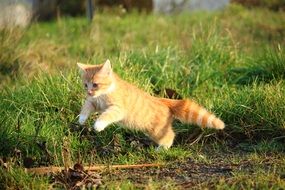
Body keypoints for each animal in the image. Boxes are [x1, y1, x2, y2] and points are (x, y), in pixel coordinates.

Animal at [77, 60, 224, 149]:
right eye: (85, 85)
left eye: (95, 84)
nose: (89, 92)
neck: (104, 94)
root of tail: (162, 100)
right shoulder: (93, 102)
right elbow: (86, 107)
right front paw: (82, 119)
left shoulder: (117, 109)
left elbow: (106, 115)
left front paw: (98, 125)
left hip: (156, 130)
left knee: (170, 136)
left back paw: (161, 150)